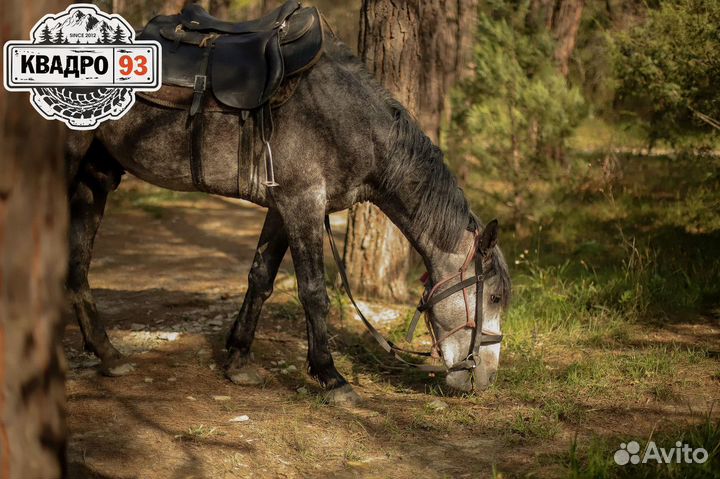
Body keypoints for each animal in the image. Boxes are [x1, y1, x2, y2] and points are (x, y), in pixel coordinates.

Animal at [64, 33, 510, 404]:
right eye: (495, 298)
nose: (485, 379)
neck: (344, 119)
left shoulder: (282, 209)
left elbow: (260, 277)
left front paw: (239, 360)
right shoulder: (303, 204)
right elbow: (313, 292)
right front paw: (331, 377)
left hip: (94, 180)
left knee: (77, 269)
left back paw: (108, 355)